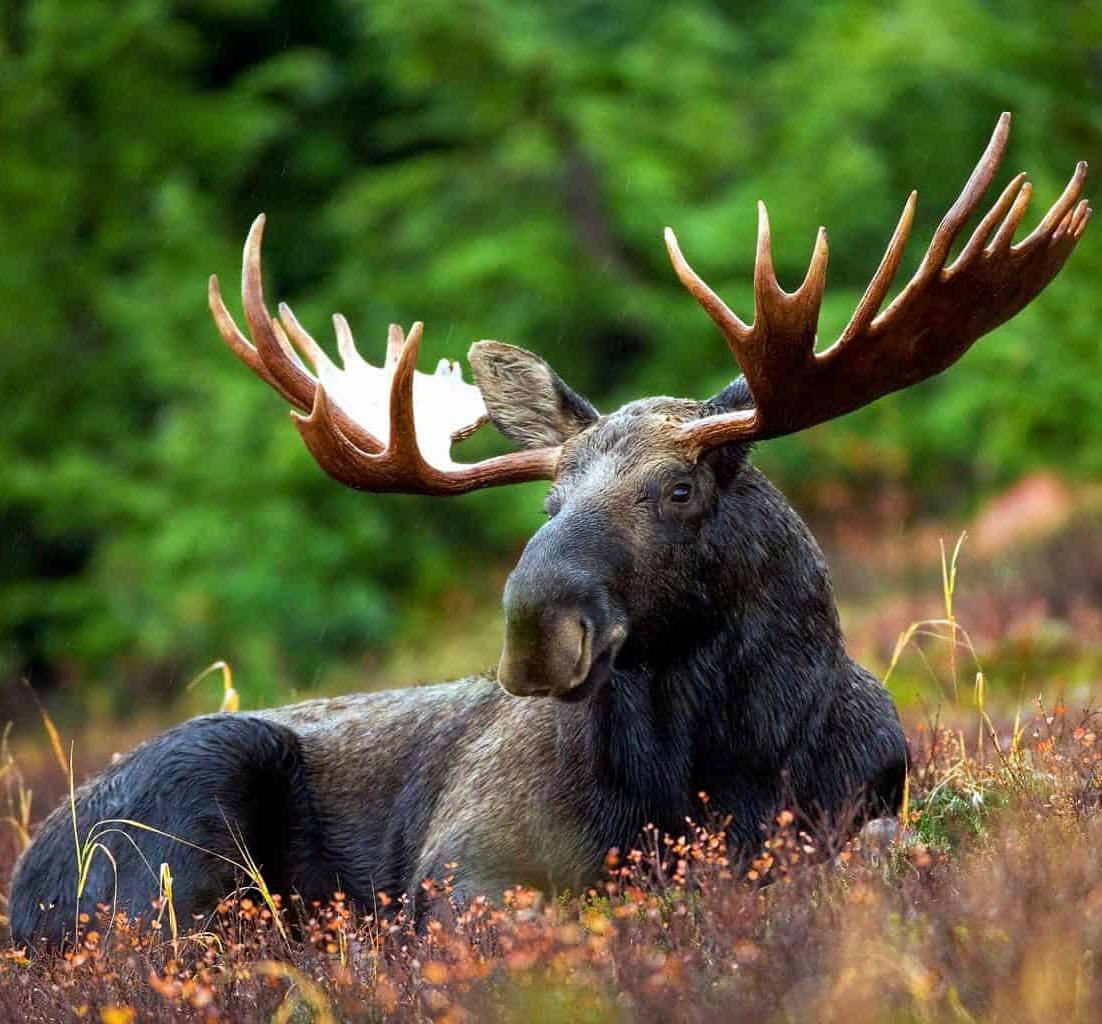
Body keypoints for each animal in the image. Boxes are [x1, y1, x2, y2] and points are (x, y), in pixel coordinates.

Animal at [10, 114, 1090, 948]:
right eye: (548, 503)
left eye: (679, 490)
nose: (535, 629)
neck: (721, 765)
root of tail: (21, 885)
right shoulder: (465, 862)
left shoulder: (862, 807)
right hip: (185, 814)